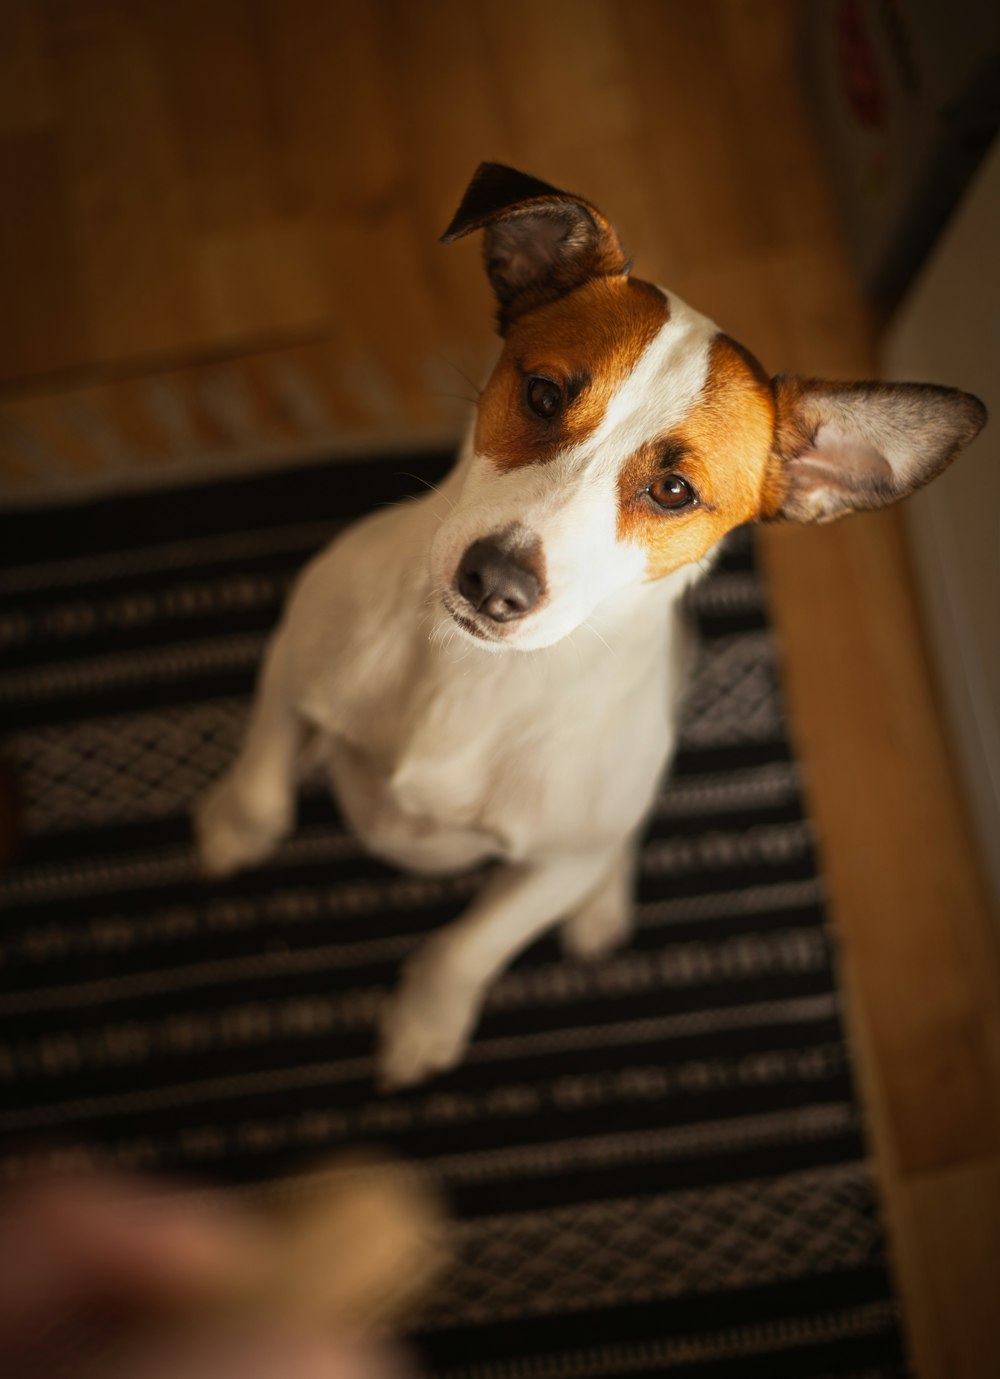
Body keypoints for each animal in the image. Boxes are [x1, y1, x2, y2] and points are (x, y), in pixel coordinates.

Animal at [193, 164, 982, 1086]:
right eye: (542, 393)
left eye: (674, 491)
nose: (495, 583)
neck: (475, 674)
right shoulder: (294, 663)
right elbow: (264, 770)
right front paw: (235, 827)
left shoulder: (550, 867)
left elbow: (468, 947)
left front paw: (425, 1022)